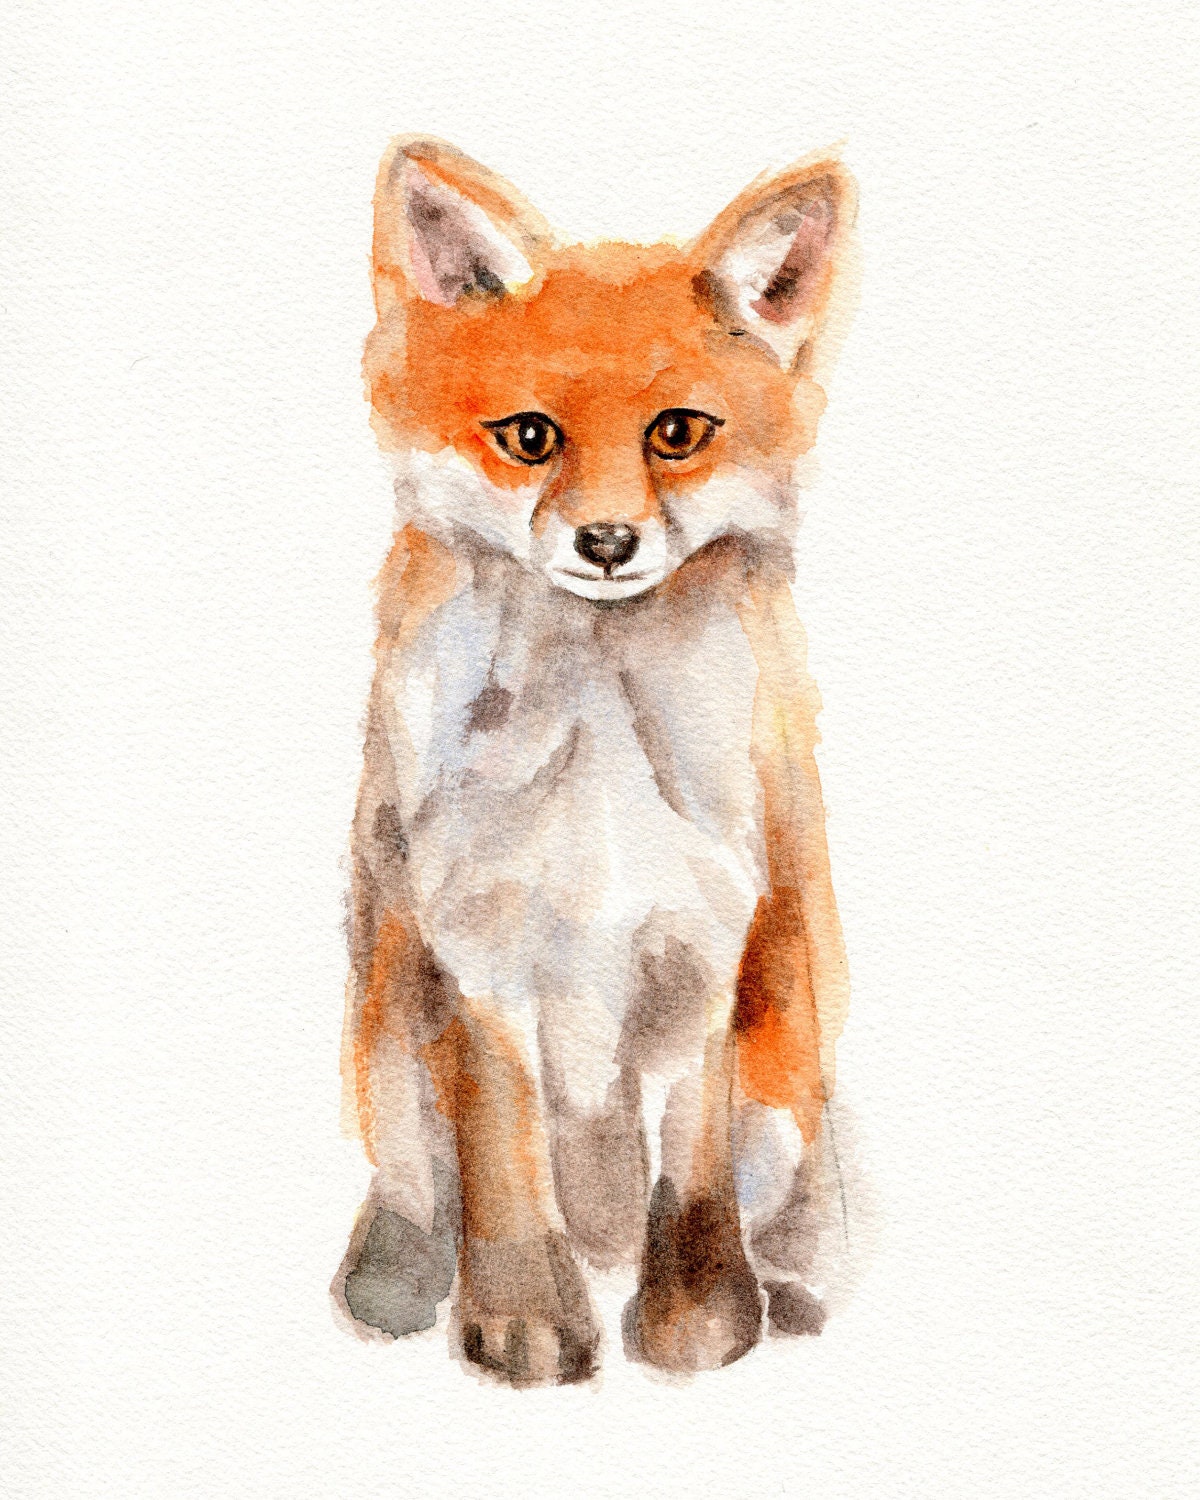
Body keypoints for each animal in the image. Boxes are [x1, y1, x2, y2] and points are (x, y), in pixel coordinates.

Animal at [333, 136, 858, 1385]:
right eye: (531, 437)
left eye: (677, 432)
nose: (608, 542)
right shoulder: (479, 954)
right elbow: (505, 1155)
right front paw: (523, 1320)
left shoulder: (705, 944)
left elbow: (693, 1166)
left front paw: (699, 1321)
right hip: (388, 1011)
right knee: (413, 1186)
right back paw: (397, 1279)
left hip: (789, 1049)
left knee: (790, 1198)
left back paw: (792, 1289)